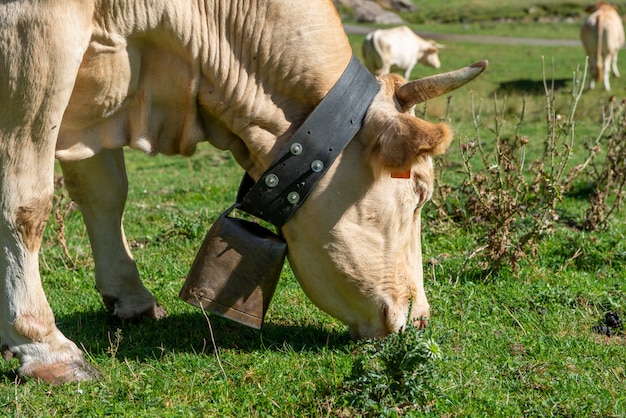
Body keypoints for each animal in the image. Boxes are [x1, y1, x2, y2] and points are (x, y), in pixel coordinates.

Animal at [0, 0, 482, 382]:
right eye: (420, 192)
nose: (420, 320)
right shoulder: (37, 37)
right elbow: (26, 202)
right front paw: (42, 344)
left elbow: (104, 192)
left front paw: (130, 296)